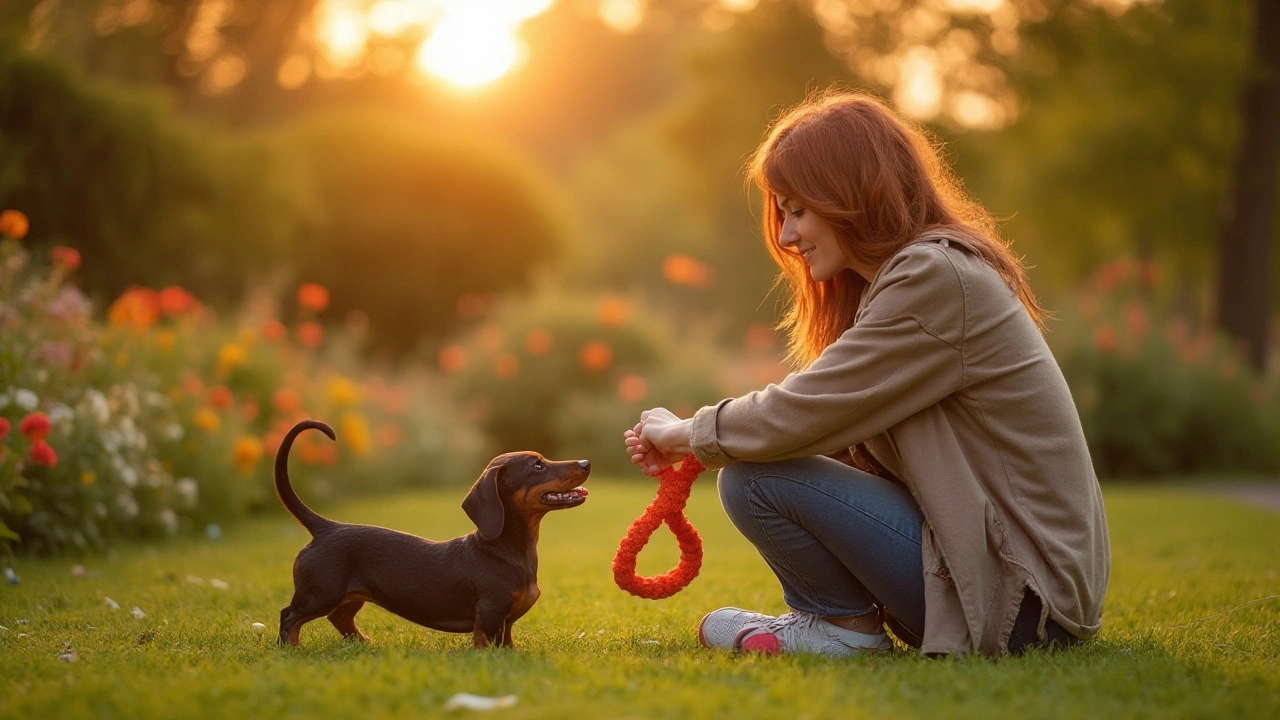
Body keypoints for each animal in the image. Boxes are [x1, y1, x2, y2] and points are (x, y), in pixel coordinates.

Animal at [273, 415, 588, 645]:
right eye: (537, 466)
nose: (586, 462)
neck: (505, 549)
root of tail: (326, 527)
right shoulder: (489, 611)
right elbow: (485, 642)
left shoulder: (506, 621)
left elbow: (507, 641)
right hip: (320, 593)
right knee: (290, 616)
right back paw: (292, 649)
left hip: (349, 595)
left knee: (339, 618)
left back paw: (364, 644)